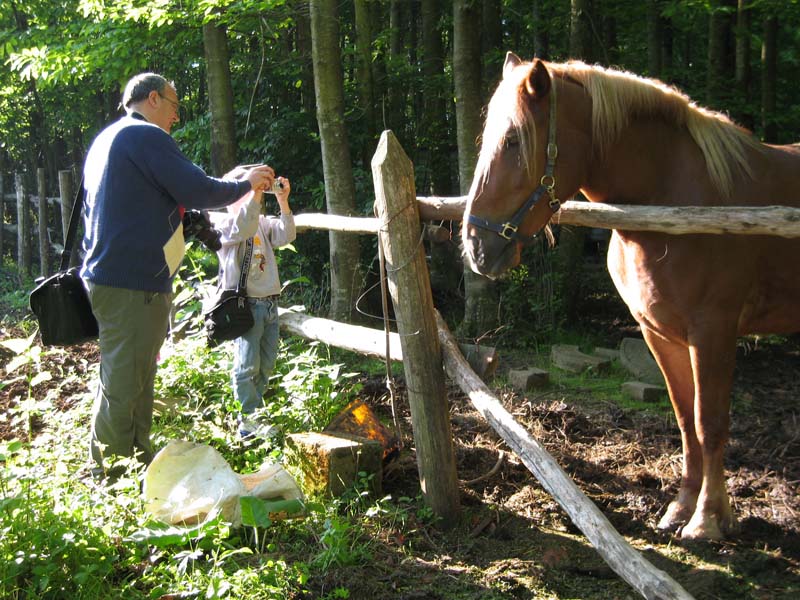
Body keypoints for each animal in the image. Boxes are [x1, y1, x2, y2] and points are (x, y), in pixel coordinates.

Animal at [462, 52, 800, 540]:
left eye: (512, 141)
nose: (475, 245)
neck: (676, 199)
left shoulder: (713, 331)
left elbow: (710, 422)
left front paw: (708, 519)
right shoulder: (659, 332)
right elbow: (685, 420)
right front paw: (680, 508)